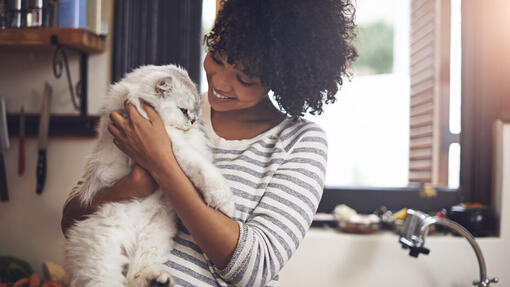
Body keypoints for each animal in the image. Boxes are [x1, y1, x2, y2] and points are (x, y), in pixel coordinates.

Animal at [63, 65, 235, 287]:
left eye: (196, 111)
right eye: (184, 110)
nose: (193, 120)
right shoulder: (172, 145)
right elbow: (204, 170)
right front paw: (225, 204)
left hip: (155, 236)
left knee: (135, 275)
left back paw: (159, 280)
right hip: (103, 252)